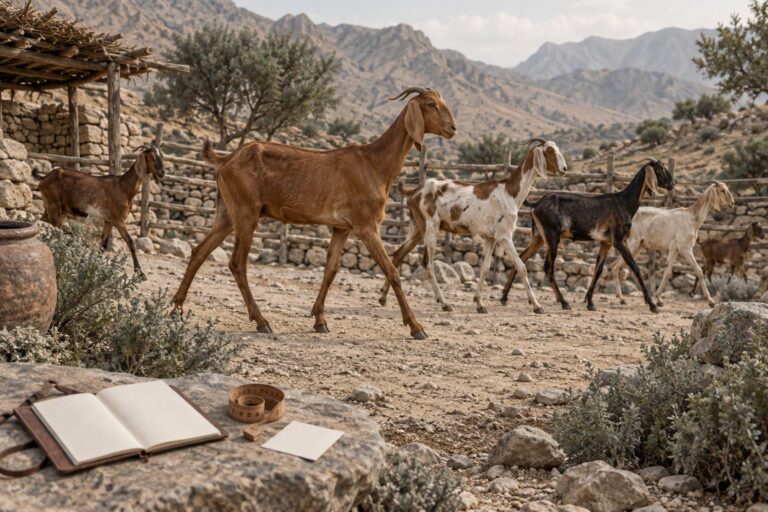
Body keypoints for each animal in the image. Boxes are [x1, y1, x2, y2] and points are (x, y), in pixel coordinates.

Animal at [37, 144, 164, 279]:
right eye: (152, 157)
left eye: (161, 156)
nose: (162, 173)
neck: (123, 187)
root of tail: (44, 178)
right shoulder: (118, 219)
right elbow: (131, 242)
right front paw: (140, 273)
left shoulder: (109, 221)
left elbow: (103, 245)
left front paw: (94, 267)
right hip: (54, 206)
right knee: (52, 230)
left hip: (57, 209)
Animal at [172, 87, 457, 339]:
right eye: (431, 103)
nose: (453, 128)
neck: (375, 164)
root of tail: (225, 160)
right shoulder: (366, 226)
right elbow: (392, 272)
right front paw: (416, 326)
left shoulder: (341, 228)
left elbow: (330, 271)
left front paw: (320, 319)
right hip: (246, 213)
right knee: (237, 264)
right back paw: (261, 321)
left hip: (226, 214)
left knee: (199, 252)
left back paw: (177, 308)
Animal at [378, 139, 567, 314]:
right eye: (550, 151)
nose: (564, 169)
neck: (509, 192)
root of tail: (414, 191)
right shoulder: (504, 236)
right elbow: (521, 266)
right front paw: (536, 305)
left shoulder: (490, 237)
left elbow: (484, 268)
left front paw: (479, 303)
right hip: (431, 227)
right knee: (428, 264)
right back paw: (444, 303)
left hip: (417, 228)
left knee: (398, 254)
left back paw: (383, 297)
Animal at [501, 158, 675, 312]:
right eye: (660, 169)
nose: (672, 183)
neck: (623, 202)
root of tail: (536, 204)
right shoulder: (619, 240)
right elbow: (635, 267)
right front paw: (652, 304)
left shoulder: (606, 243)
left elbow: (598, 270)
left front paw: (590, 302)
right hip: (552, 236)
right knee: (547, 268)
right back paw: (563, 302)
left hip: (538, 237)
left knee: (520, 259)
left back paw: (504, 297)